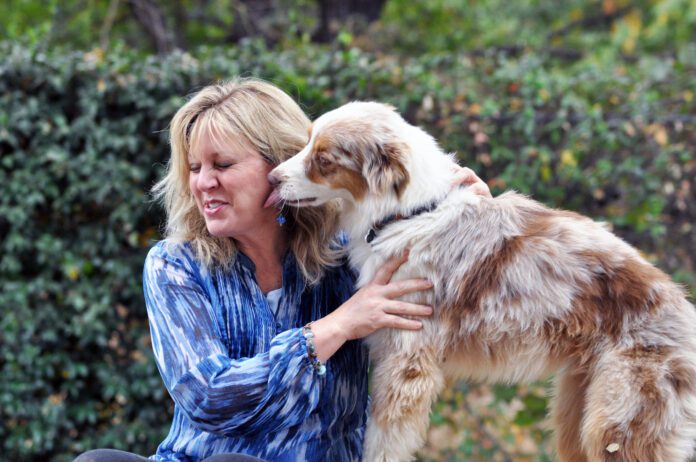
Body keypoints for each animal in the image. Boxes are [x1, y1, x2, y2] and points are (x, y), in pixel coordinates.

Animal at [266, 102, 696, 462]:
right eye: (305, 143)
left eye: (323, 159)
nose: (271, 178)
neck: (408, 215)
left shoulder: (407, 361)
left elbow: (382, 446)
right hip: (576, 413)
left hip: (618, 427)